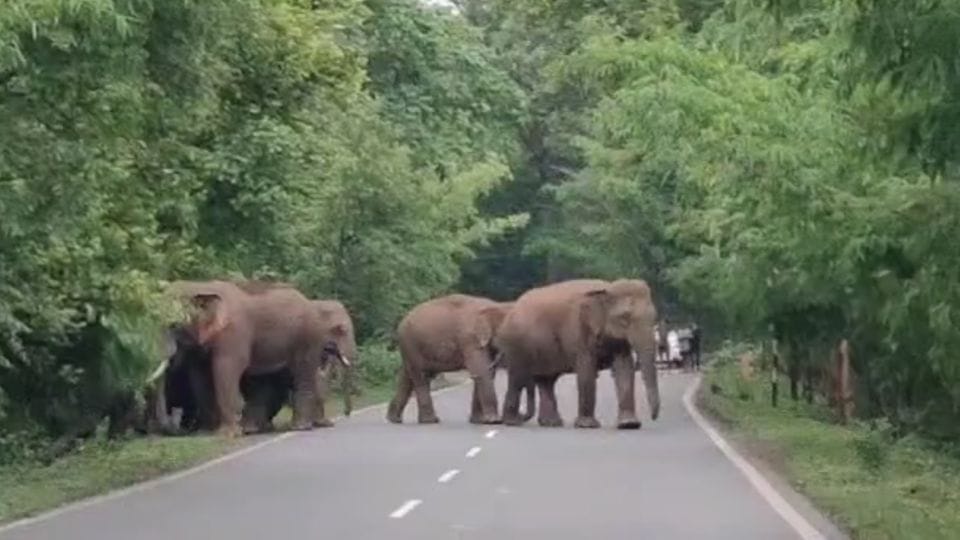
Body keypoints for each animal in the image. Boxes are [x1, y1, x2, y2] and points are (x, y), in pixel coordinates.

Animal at [161, 280, 352, 437]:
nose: (347, 413)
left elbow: (226, 369)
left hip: (306, 338)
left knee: (303, 374)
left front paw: (228, 434)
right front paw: (209, 432)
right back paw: (254, 429)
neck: (200, 285)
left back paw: (300, 427)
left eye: (173, 325)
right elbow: (201, 375)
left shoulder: (235, 333)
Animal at [387, 294, 534, 425]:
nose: (520, 416)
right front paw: (493, 421)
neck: (497, 305)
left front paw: (479, 421)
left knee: (407, 377)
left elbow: (487, 372)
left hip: (410, 347)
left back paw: (394, 419)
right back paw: (430, 421)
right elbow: (481, 371)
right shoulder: (470, 339)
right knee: (420, 376)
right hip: (410, 343)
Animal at [495, 279, 660, 430]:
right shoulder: (579, 332)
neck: (607, 287)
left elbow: (624, 368)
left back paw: (551, 423)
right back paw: (513, 422)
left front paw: (628, 424)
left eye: (654, 317)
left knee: (546, 381)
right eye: (624, 317)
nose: (653, 417)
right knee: (518, 378)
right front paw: (587, 425)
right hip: (515, 345)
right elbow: (586, 370)